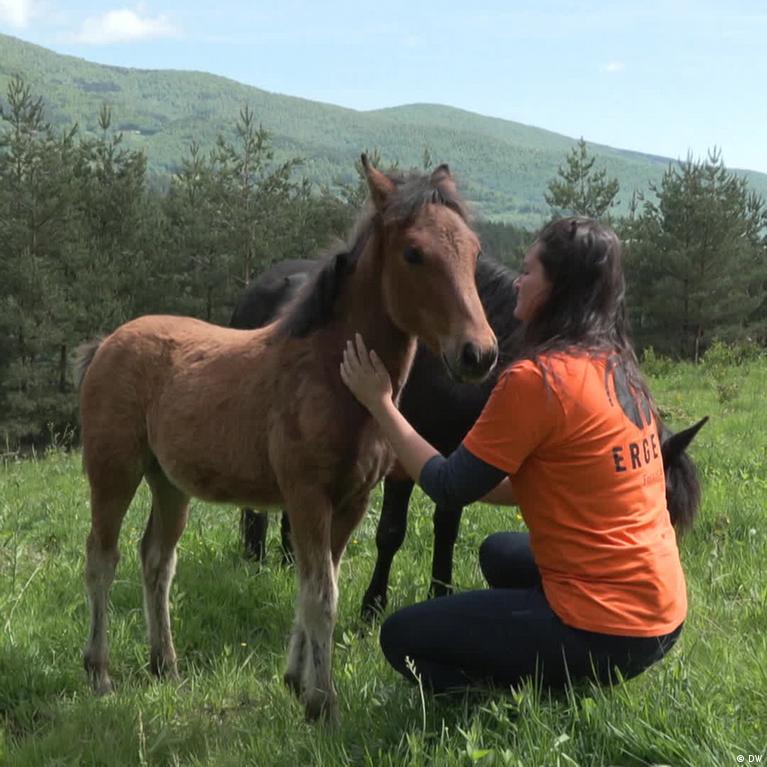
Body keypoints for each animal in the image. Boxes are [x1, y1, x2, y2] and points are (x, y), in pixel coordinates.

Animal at [73, 157, 498, 724]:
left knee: (157, 560)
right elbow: (321, 594)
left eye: (473, 250)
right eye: (414, 253)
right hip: (113, 471)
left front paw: (297, 682)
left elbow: (318, 585)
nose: (478, 354)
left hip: (169, 483)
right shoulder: (307, 497)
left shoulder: (351, 502)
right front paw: (324, 703)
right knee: (102, 557)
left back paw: (165, 665)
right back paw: (99, 672)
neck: (327, 375)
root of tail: (108, 343)